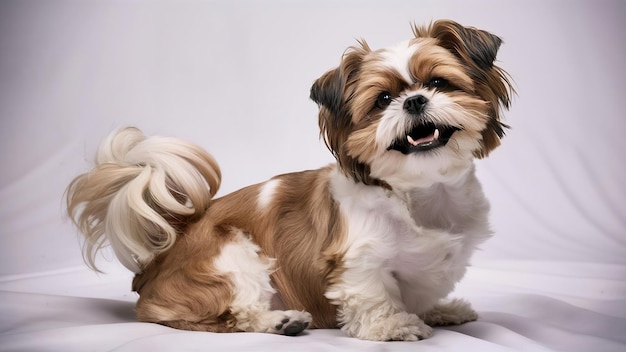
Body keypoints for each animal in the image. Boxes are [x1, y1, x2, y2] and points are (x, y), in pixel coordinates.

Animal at [66, 20, 510, 340]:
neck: (419, 194)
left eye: (438, 83)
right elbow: (373, 294)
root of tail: (169, 244)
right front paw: (393, 325)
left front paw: (439, 309)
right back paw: (280, 322)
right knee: (228, 315)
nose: (414, 100)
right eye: (383, 100)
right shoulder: (356, 259)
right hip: (231, 257)